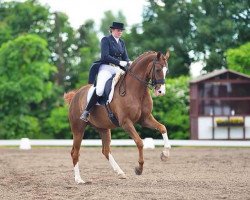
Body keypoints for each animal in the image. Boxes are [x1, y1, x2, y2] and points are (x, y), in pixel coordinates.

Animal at [64, 49, 172, 183]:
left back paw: (120, 172)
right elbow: (139, 142)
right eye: (157, 69)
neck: (136, 91)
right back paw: (79, 179)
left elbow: (162, 128)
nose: (161, 91)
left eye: (166, 70)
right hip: (78, 128)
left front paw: (165, 154)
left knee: (105, 150)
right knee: (75, 152)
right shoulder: (126, 122)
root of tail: (75, 95)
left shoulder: (145, 119)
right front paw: (139, 168)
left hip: (103, 128)